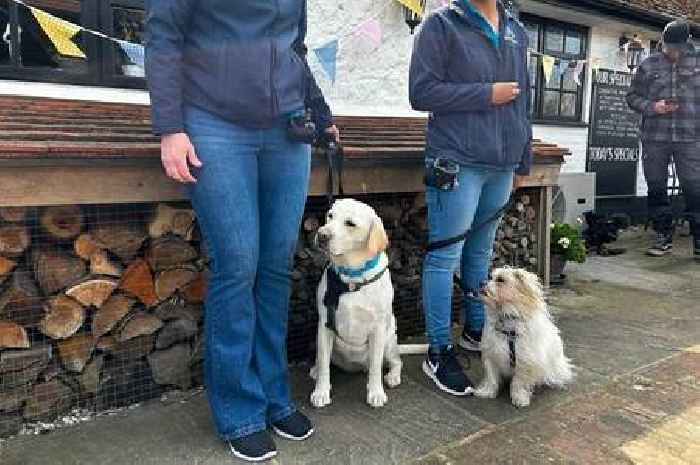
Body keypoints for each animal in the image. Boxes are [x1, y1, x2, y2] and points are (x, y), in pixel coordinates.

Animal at [312, 198, 426, 408]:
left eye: (350, 223)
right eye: (330, 215)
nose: (322, 235)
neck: (351, 277)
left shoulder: (378, 329)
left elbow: (375, 367)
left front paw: (376, 392)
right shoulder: (325, 325)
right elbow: (324, 364)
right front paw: (321, 391)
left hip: (389, 341)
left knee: (396, 361)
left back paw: (393, 376)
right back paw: (315, 369)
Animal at [476, 268, 576, 406]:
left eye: (500, 280)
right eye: (490, 276)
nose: (481, 282)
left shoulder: (526, 360)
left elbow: (519, 381)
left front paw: (519, 397)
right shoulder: (491, 354)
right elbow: (491, 377)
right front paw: (487, 391)